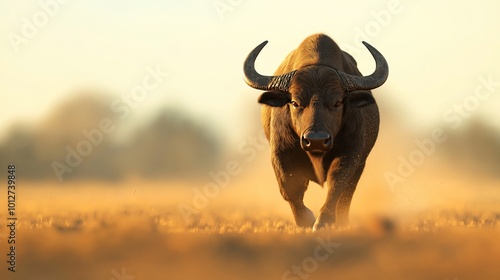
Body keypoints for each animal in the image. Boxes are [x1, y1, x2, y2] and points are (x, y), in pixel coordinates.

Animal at [244, 33, 388, 230]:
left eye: (337, 102)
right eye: (295, 102)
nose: (316, 140)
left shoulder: (351, 154)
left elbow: (337, 184)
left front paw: (323, 221)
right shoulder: (280, 154)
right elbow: (288, 188)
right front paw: (306, 220)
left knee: (347, 194)